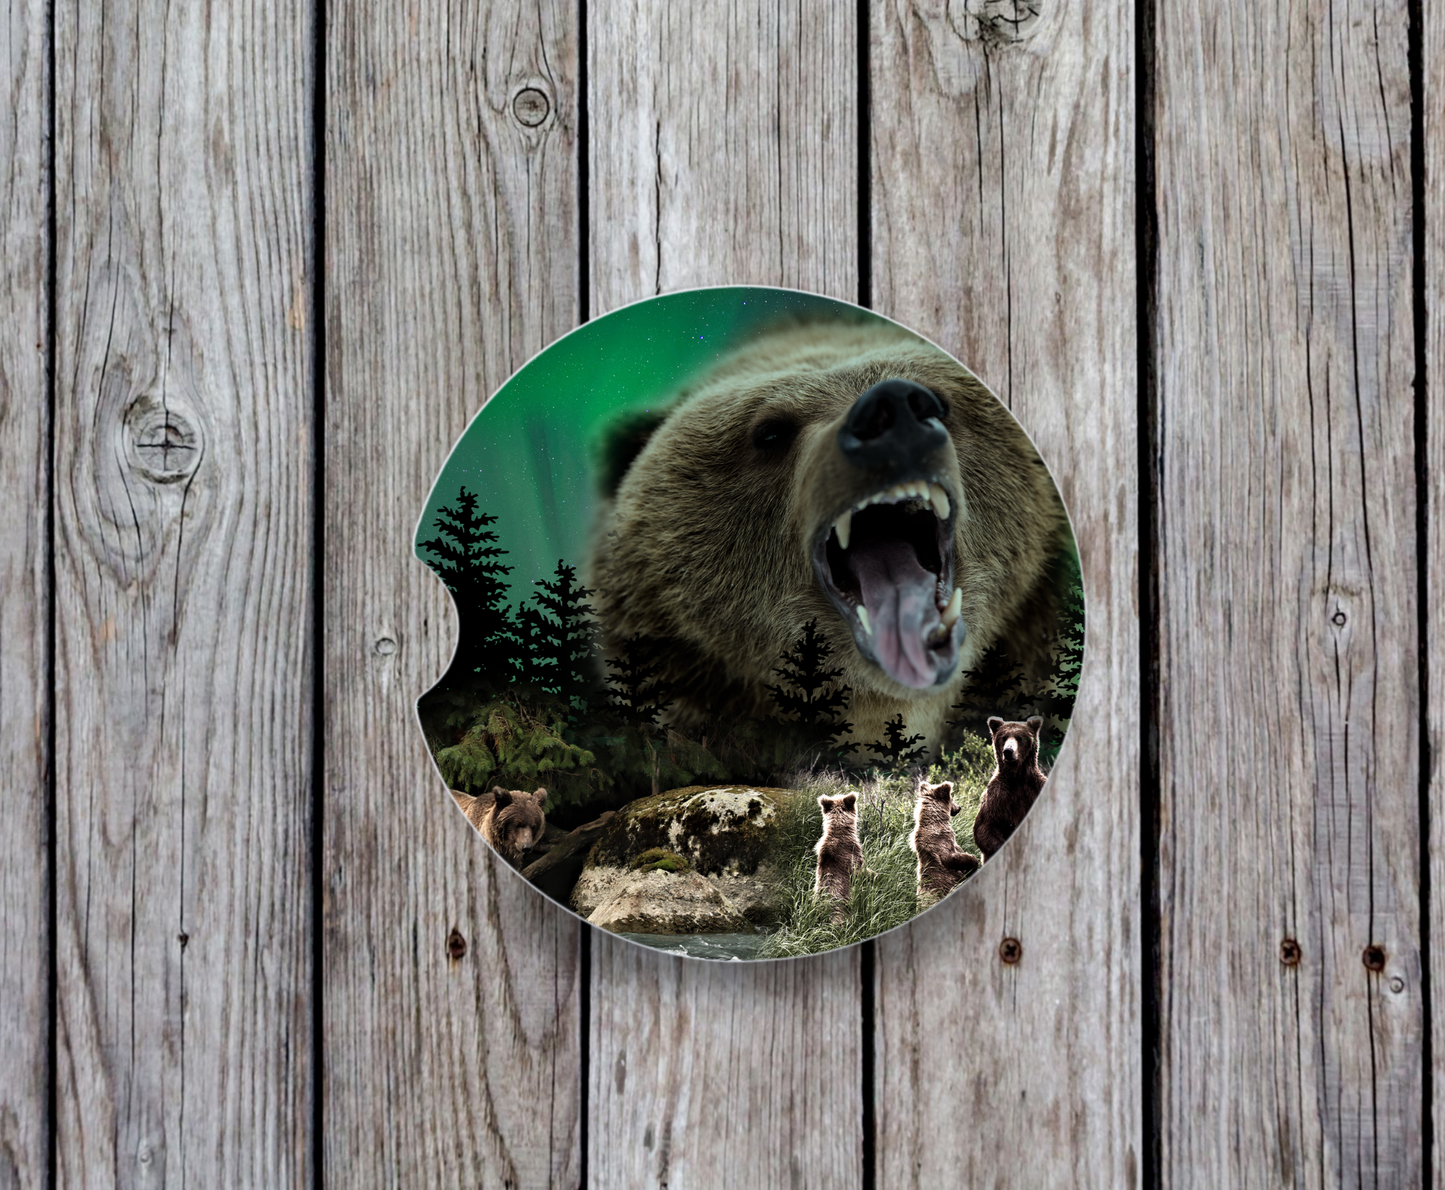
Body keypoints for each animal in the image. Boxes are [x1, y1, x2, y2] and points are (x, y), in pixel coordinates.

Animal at [972, 716, 1047, 860]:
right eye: (1003, 737)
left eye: (1020, 737)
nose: (1008, 751)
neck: (1017, 777)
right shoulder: (998, 795)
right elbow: (985, 827)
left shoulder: (1035, 788)